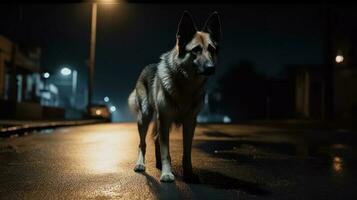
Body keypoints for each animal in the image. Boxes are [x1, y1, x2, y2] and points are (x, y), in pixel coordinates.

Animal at [128, 11, 221, 183]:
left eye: (212, 49)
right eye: (196, 50)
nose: (211, 68)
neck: (186, 85)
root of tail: (146, 67)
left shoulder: (190, 123)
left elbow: (187, 153)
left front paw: (188, 174)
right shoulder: (165, 120)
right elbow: (167, 153)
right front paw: (167, 173)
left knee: (156, 139)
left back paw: (158, 164)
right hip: (144, 117)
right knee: (142, 144)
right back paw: (141, 164)